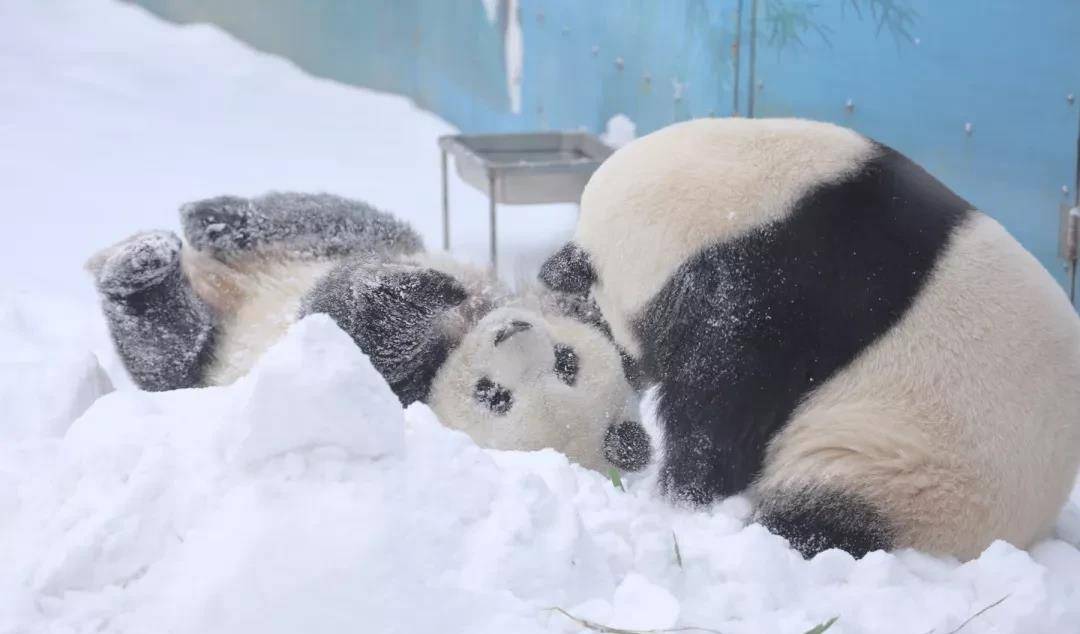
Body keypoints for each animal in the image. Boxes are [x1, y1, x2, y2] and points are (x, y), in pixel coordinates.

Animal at [86, 193, 648, 475]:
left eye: (495, 397)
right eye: (568, 361)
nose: (510, 331)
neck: (453, 341)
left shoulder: (392, 392)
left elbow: (350, 324)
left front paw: (410, 296)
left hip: (204, 368)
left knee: (169, 350)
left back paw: (138, 272)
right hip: (336, 241)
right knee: (328, 218)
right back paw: (205, 222)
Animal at [544, 116, 1080, 557]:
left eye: (594, 303)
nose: (618, 366)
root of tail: (1028, 532)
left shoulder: (781, 289)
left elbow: (727, 403)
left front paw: (680, 498)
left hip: (914, 472)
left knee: (828, 512)